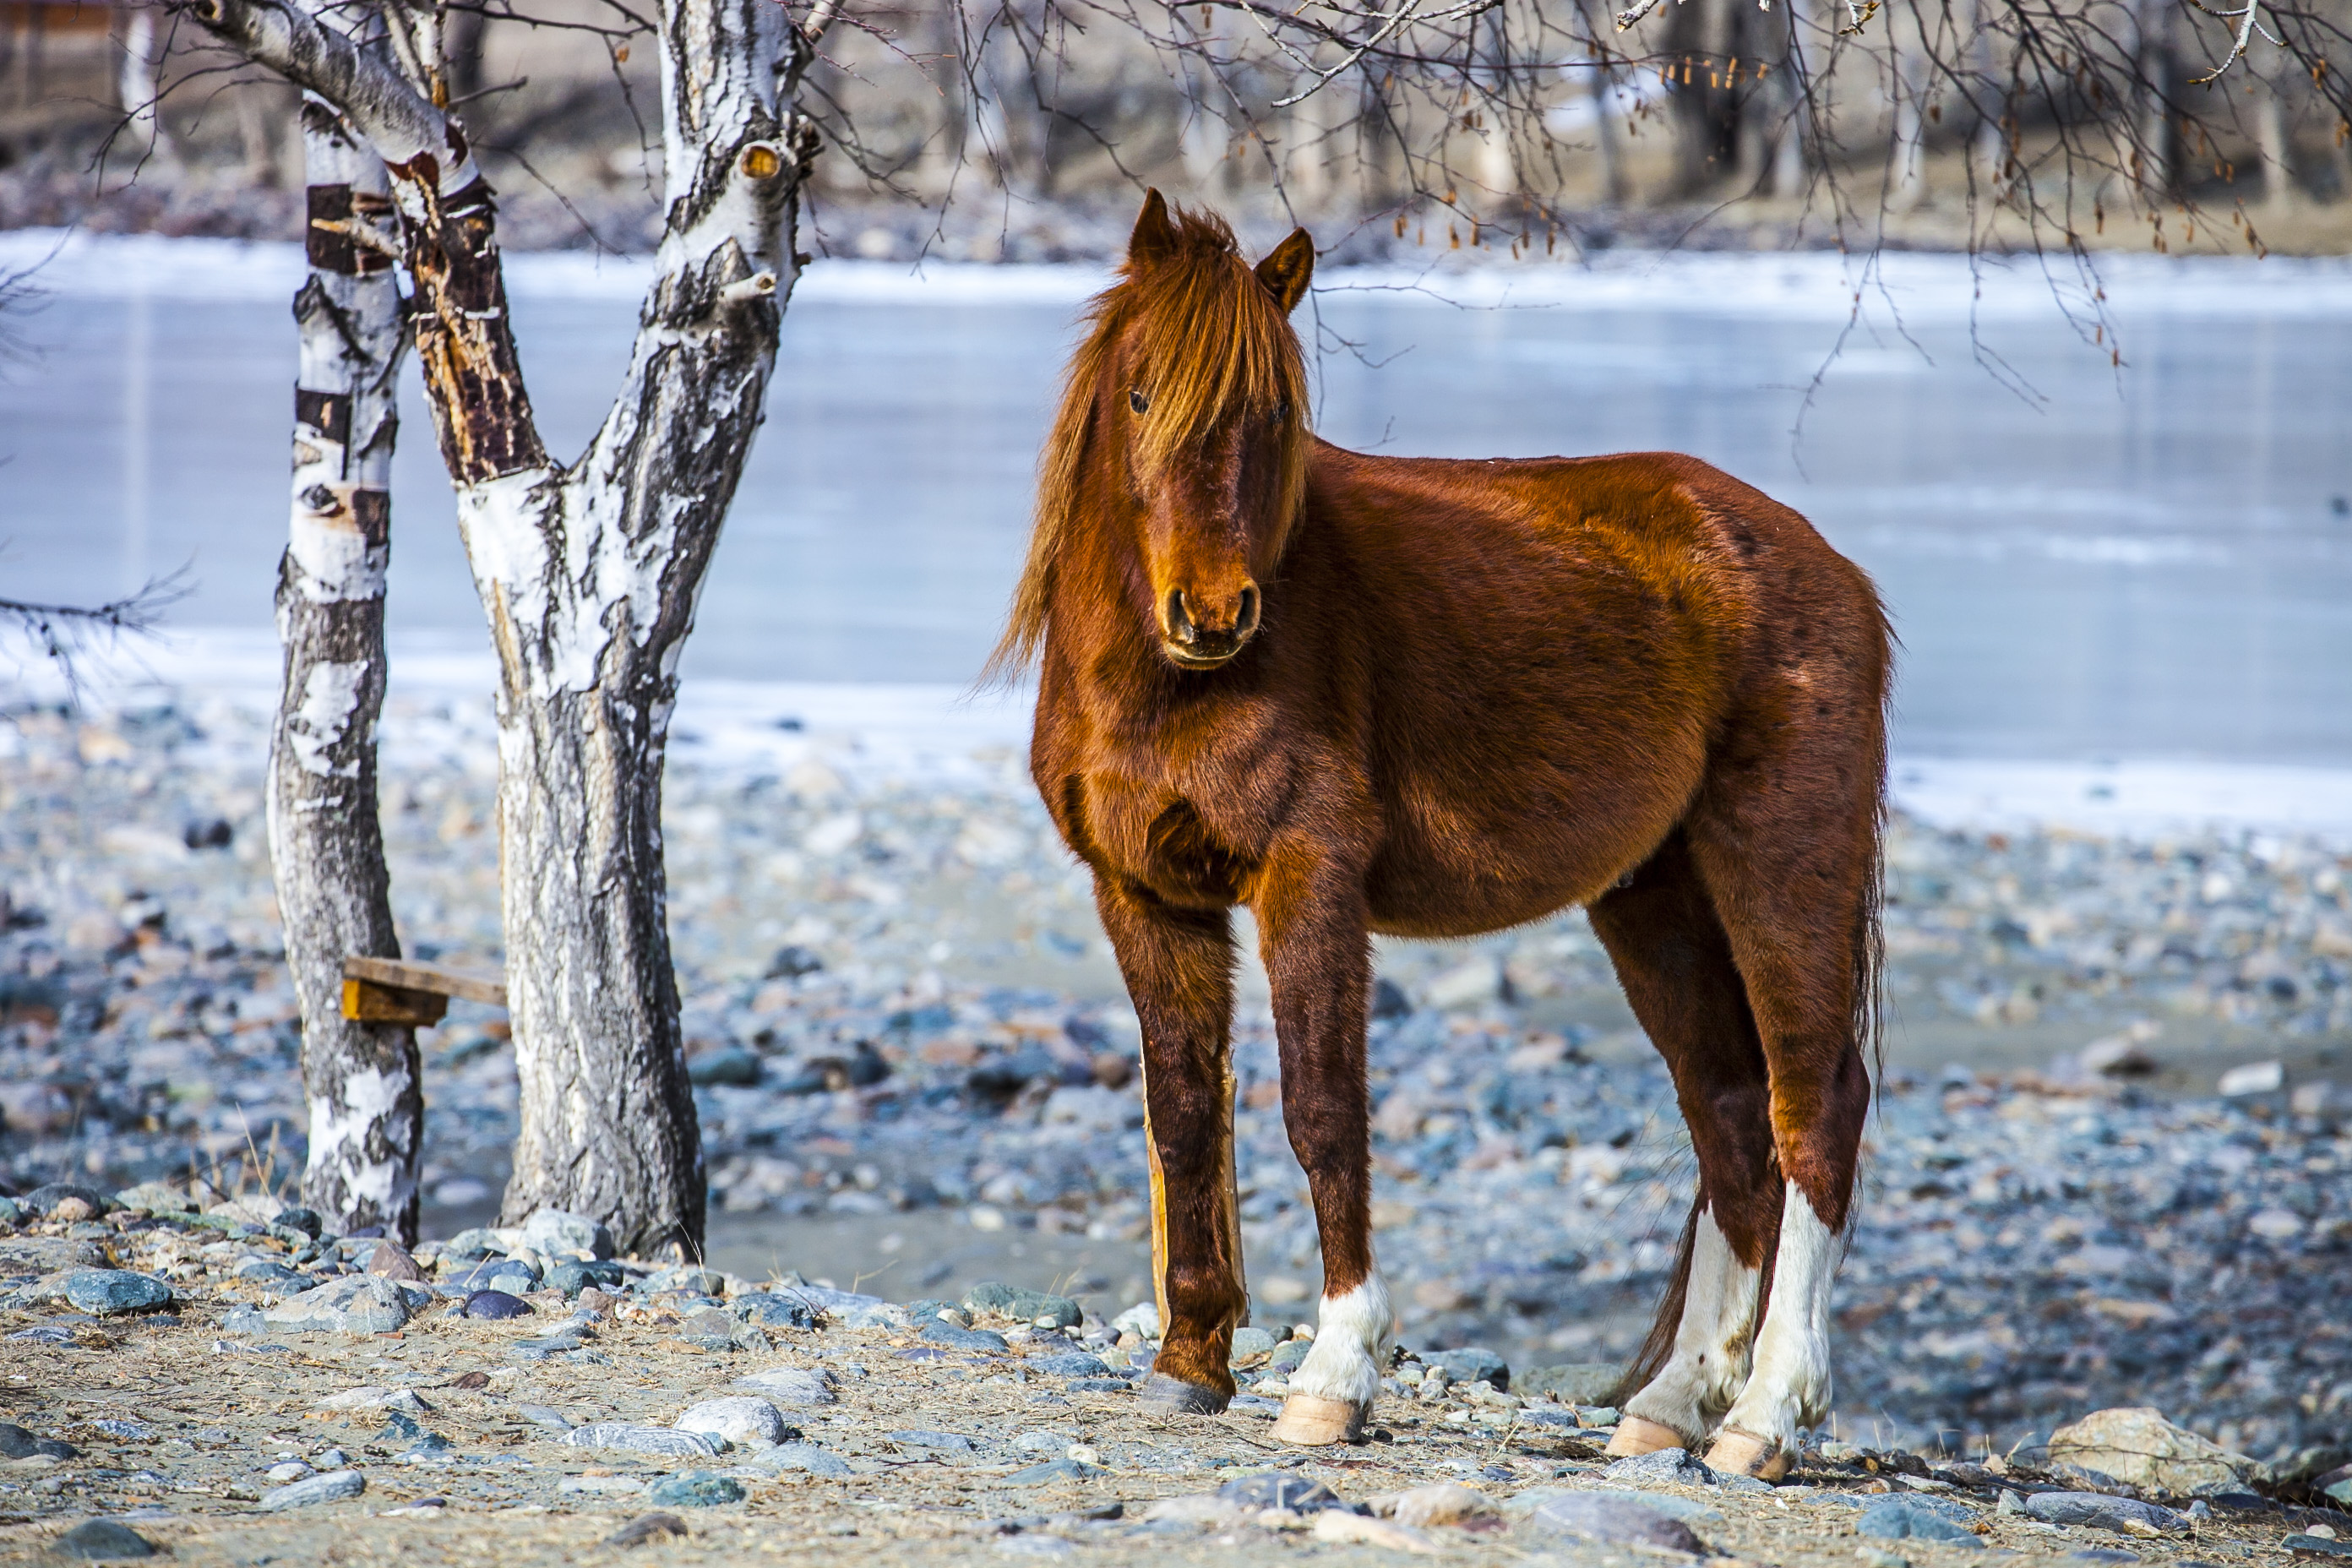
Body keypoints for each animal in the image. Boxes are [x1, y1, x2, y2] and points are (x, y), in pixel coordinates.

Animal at [992, 190, 1891, 1476]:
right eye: (1141, 394)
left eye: (1273, 412)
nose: (1213, 614)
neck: (1168, 683)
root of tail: (1831, 568)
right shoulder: (1144, 894)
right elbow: (1183, 1113)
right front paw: (1190, 1362)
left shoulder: (1307, 881)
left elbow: (1322, 1111)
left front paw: (1333, 1374)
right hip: (1653, 900)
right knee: (1730, 1117)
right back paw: (1670, 1406)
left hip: (1780, 871)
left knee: (1813, 1108)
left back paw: (1765, 1416)